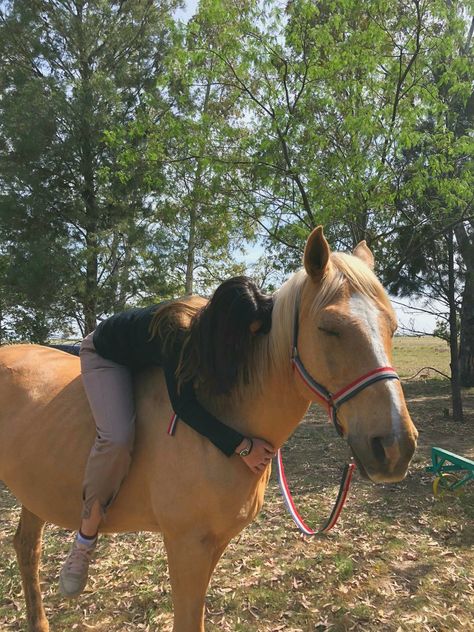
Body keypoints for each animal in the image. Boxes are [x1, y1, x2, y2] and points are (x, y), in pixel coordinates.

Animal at [0, 228, 414, 632]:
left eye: (392, 327)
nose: (395, 446)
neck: (221, 426)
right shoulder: (187, 546)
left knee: (26, 546)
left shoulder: (214, 543)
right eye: (329, 328)